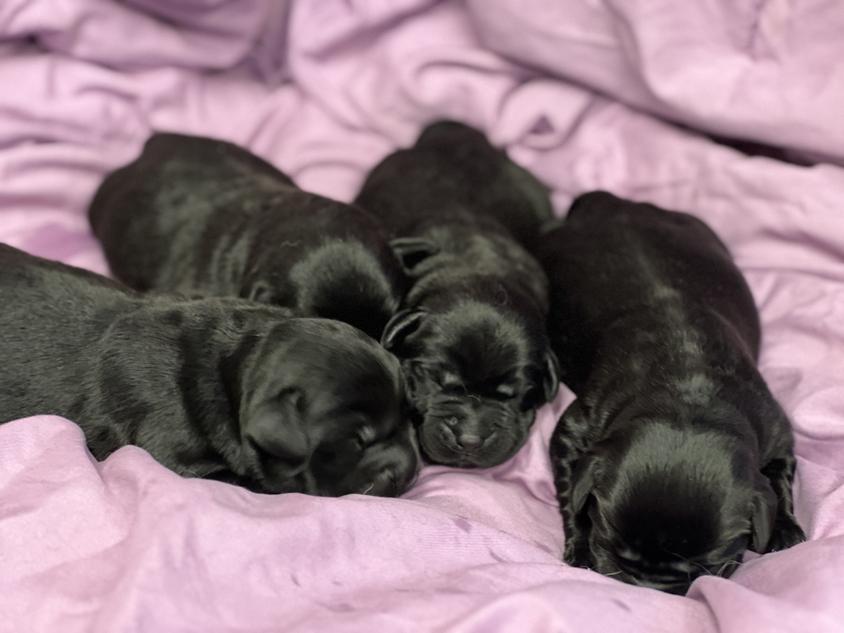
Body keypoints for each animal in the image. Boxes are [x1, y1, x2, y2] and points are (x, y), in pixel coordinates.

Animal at [536, 191, 808, 592]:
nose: (647, 585)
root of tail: (608, 201)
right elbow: (574, 495)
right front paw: (582, 549)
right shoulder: (573, 432)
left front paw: (785, 529)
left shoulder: (776, 433)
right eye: (611, 540)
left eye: (707, 564)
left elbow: (780, 479)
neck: (688, 396)